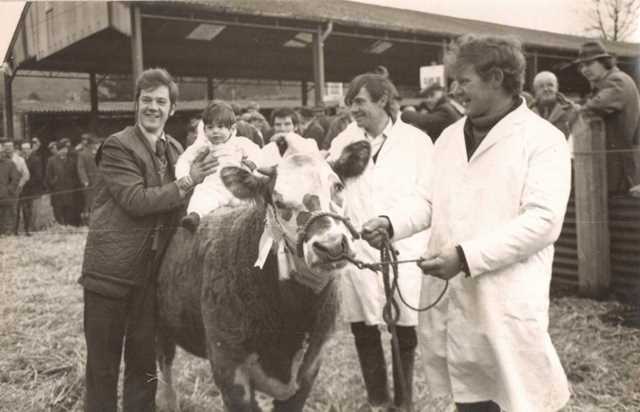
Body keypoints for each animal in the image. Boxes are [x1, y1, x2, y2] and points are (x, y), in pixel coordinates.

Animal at [156, 136, 372, 412]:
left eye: (338, 186)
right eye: (278, 202)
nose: (331, 245)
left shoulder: (309, 368)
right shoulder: (229, 369)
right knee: (164, 365)